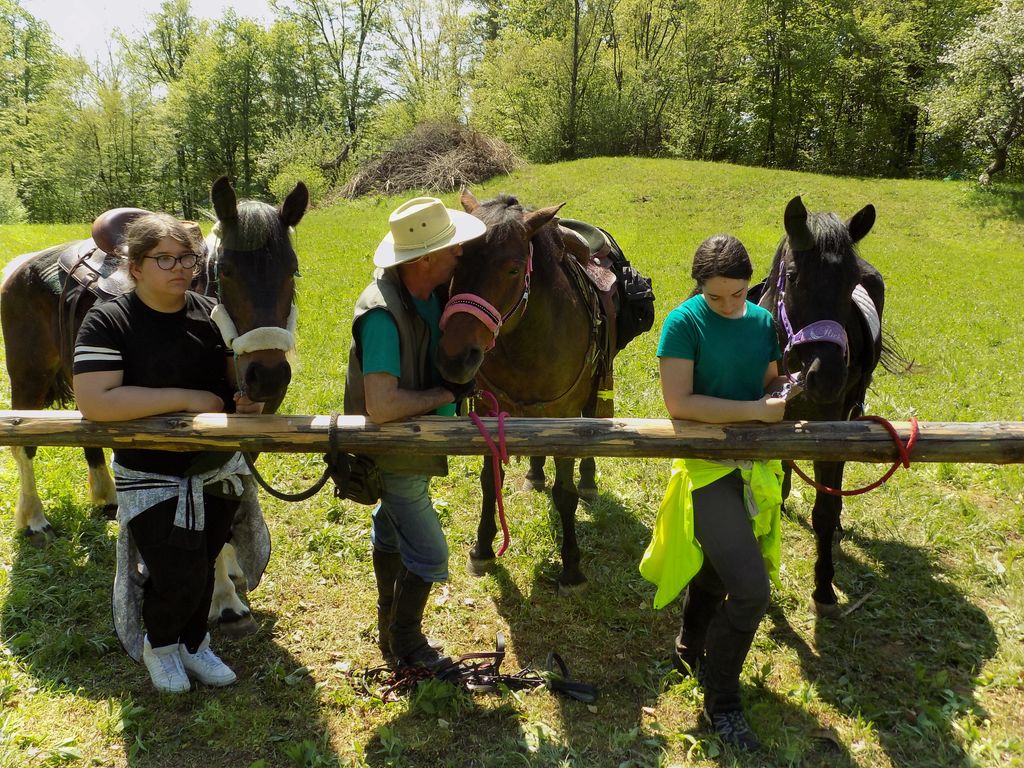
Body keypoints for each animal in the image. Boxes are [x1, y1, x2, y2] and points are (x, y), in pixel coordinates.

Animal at [436, 191, 620, 595]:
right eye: (456, 261)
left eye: (513, 269)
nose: (455, 358)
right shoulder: (489, 411)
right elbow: (490, 482)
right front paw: (482, 549)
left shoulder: (565, 416)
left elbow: (565, 493)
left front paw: (571, 567)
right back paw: (535, 473)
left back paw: (588, 480)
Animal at [757, 195, 907, 617]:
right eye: (793, 277)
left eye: (850, 282)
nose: (826, 377)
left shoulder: (831, 434)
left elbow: (824, 513)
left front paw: (823, 587)